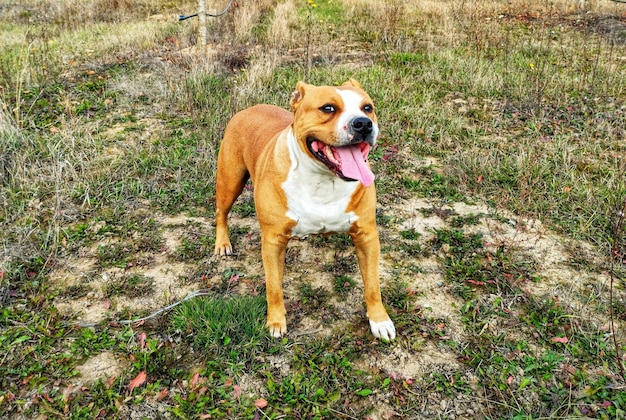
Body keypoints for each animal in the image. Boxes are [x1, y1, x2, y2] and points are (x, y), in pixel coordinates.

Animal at [212, 79, 392, 342]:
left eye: (367, 108)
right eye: (328, 108)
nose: (363, 124)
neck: (323, 179)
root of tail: (250, 108)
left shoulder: (366, 235)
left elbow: (372, 283)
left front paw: (380, 320)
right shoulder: (272, 240)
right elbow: (274, 286)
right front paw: (276, 321)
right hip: (230, 181)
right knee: (221, 212)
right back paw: (222, 243)